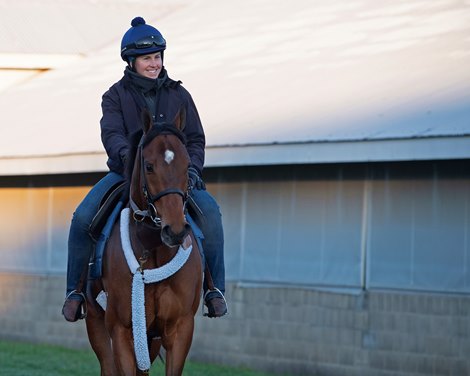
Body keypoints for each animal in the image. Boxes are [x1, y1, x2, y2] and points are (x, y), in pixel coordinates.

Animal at [85, 108, 203, 376]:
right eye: (149, 166)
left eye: (187, 166)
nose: (175, 230)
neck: (152, 250)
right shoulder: (121, 331)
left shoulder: (180, 329)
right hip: (97, 324)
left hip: (151, 338)